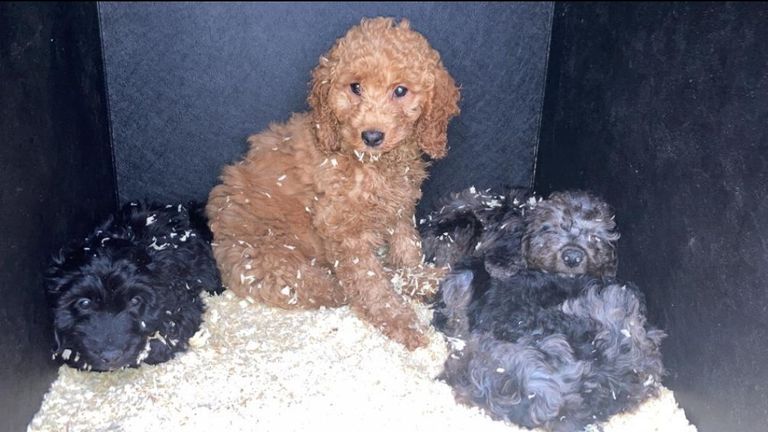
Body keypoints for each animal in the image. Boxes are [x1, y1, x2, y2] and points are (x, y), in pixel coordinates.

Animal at [207, 16, 460, 350]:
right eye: (355, 87)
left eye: (400, 90)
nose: (371, 136)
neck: (372, 164)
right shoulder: (342, 229)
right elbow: (371, 283)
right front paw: (400, 321)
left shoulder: (400, 208)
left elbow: (407, 246)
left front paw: (416, 276)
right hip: (282, 265)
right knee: (330, 288)